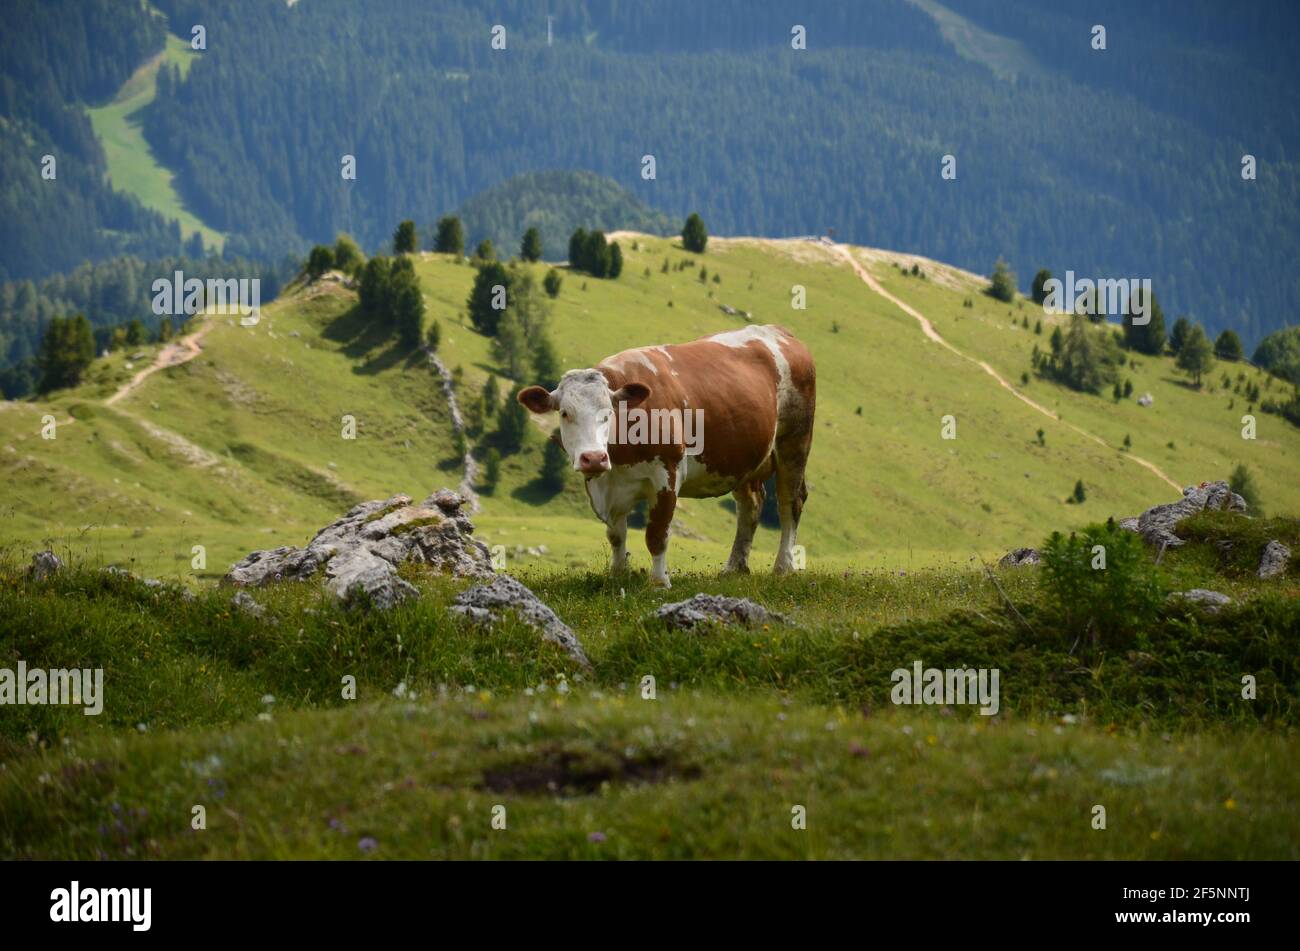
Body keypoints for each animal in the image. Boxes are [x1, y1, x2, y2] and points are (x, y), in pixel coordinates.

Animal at [517, 324, 815, 587]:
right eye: (565, 413)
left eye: (609, 412)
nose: (593, 457)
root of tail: (778, 331)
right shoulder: (605, 486)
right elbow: (616, 535)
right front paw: (618, 574)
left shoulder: (667, 475)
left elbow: (657, 535)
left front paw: (659, 582)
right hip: (743, 458)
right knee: (751, 505)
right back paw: (734, 568)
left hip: (794, 441)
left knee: (790, 502)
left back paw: (783, 567)